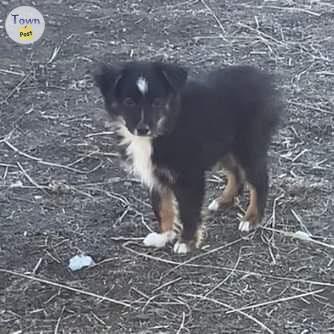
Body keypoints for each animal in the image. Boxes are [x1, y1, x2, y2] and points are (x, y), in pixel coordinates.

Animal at [93, 60, 282, 253]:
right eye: (129, 102)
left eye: (157, 102)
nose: (143, 129)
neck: (165, 128)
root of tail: (262, 78)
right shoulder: (156, 175)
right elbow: (162, 208)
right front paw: (164, 236)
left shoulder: (190, 176)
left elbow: (188, 212)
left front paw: (186, 241)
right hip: (225, 145)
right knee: (236, 174)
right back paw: (223, 201)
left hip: (247, 147)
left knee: (259, 181)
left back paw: (252, 218)